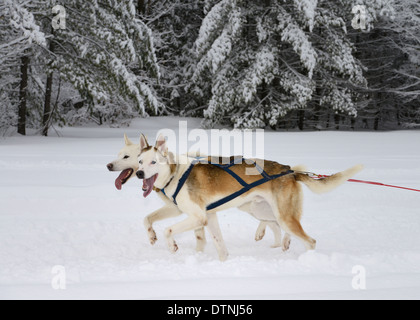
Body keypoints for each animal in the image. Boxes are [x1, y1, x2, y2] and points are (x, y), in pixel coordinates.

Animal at [136, 132, 362, 260]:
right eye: (139, 161)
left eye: (153, 162)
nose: (138, 174)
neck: (176, 173)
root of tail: (289, 171)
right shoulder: (199, 214)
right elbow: (147, 219)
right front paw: (151, 235)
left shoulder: (199, 217)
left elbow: (168, 230)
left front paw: (172, 245)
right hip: (259, 209)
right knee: (277, 227)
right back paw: (280, 242)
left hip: (282, 215)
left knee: (310, 241)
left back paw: (309, 261)